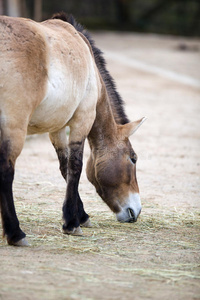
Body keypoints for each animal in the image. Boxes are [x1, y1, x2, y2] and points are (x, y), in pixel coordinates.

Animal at [0, 12, 145, 246]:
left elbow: (64, 167)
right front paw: (72, 222)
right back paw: (15, 233)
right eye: (133, 158)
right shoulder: (82, 121)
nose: (136, 211)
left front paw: (81, 216)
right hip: (15, 126)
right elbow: (74, 167)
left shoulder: (57, 128)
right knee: (6, 170)